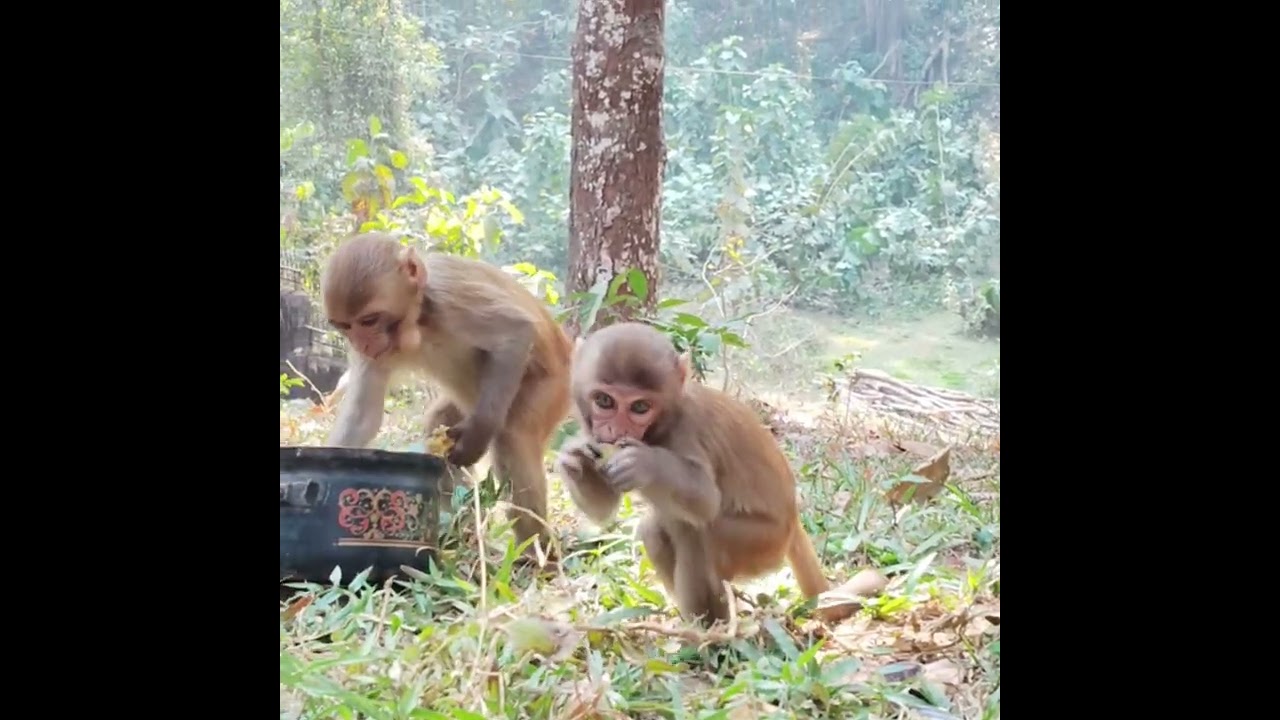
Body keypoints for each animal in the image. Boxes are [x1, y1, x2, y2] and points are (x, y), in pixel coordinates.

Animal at [321, 232, 573, 558]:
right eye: (345, 326)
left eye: (369, 320)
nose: (362, 344)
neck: (419, 320)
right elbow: (363, 419)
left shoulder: (447, 299)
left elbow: (516, 334)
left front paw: (479, 434)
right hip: (470, 400)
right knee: (438, 420)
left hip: (550, 388)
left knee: (513, 436)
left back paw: (537, 553)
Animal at [554, 322, 833, 626]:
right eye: (604, 401)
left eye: (640, 407)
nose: (616, 432)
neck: (659, 429)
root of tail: (793, 520)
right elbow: (604, 508)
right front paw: (574, 461)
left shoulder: (685, 431)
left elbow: (706, 500)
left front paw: (645, 465)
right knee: (658, 529)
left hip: (765, 543)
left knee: (694, 533)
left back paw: (709, 630)